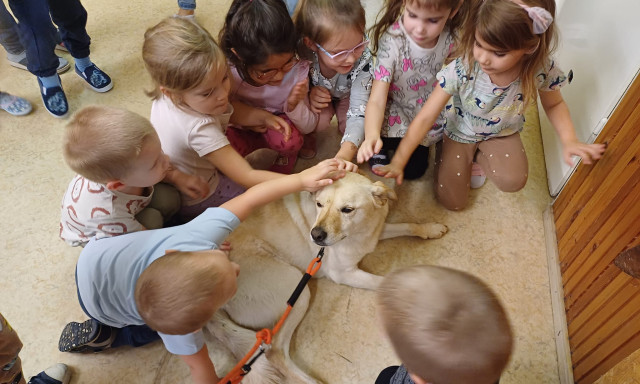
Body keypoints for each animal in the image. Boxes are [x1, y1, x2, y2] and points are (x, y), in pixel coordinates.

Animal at [208, 172, 448, 382]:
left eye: (347, 209)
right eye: (319, 205)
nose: (315, 236)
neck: (358, 232)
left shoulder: (375, 232)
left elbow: (407, 224)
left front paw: (430, 228)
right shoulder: (344, 273)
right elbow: (384, 281)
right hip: (297, 289)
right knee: (275, 351)